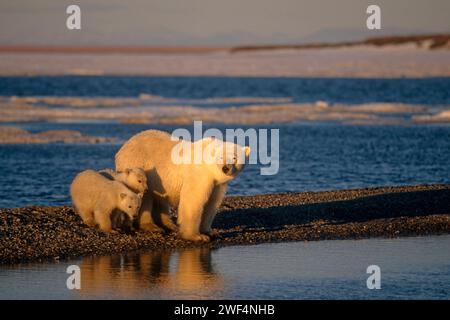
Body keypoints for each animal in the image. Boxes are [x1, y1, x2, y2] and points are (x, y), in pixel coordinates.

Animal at [116, 129, 250, 241]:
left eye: (235, 157)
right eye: (220, 157)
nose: (225, 168)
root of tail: (122, 149)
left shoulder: (217, 184)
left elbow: (212, 203)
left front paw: (209, 232)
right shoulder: (198, 173)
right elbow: (193, 200)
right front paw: (196, 236)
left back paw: (170, 225)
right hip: (139, 166)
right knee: (145, 197)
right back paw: (152, 226)